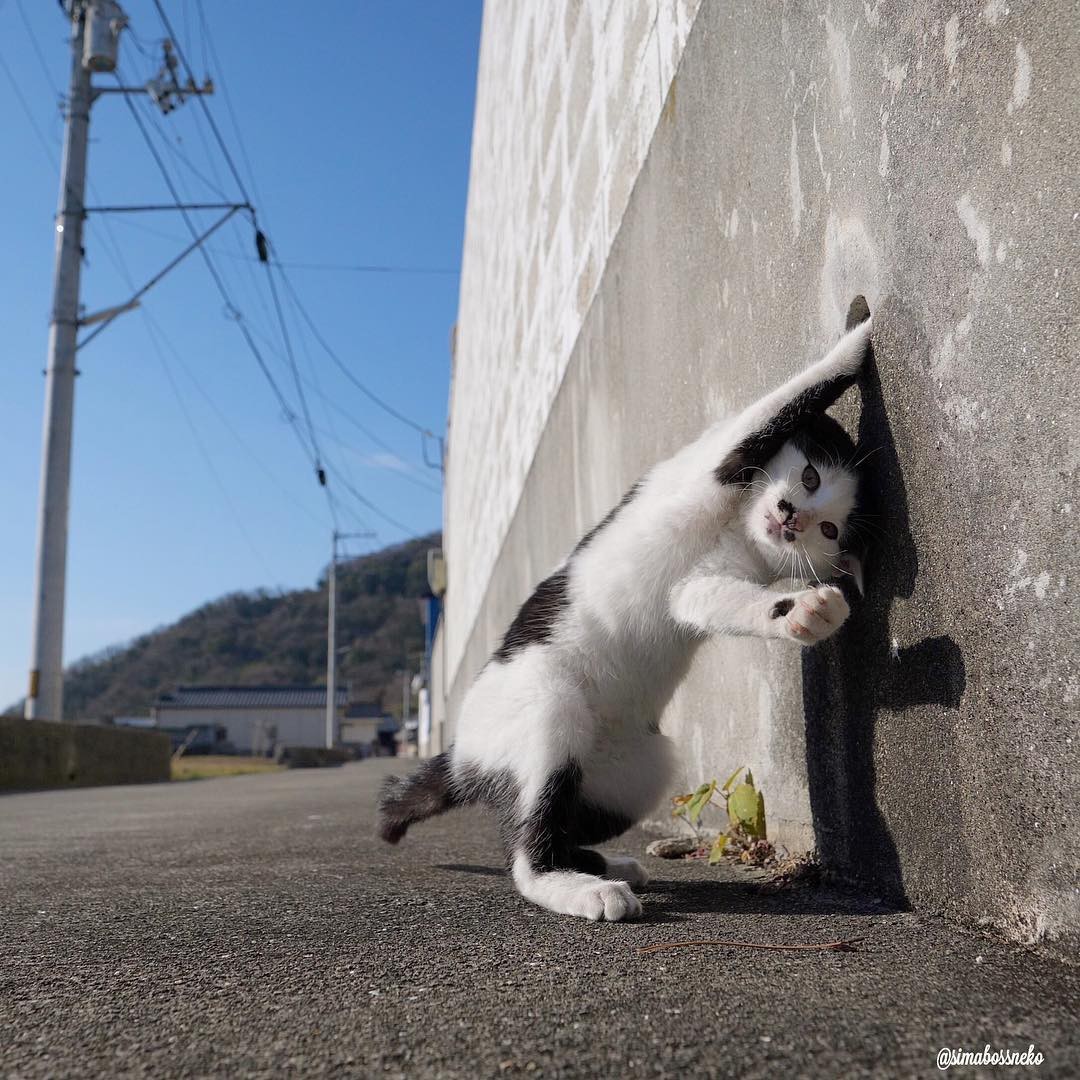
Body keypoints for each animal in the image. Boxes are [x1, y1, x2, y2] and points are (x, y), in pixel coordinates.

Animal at [375, 311, 872, 920]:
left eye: (829, 529)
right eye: (809, 477)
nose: (790, 517)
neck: (739, 527)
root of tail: (464, 753)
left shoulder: (702, 585)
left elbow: (721, 600)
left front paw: (807, 611)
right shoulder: (713, 461)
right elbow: (782, 402)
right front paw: (858, 335)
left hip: (641, 770)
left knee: (553, 822)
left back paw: (598, 864)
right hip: (547, 702)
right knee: (525, 847)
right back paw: (578, 886)